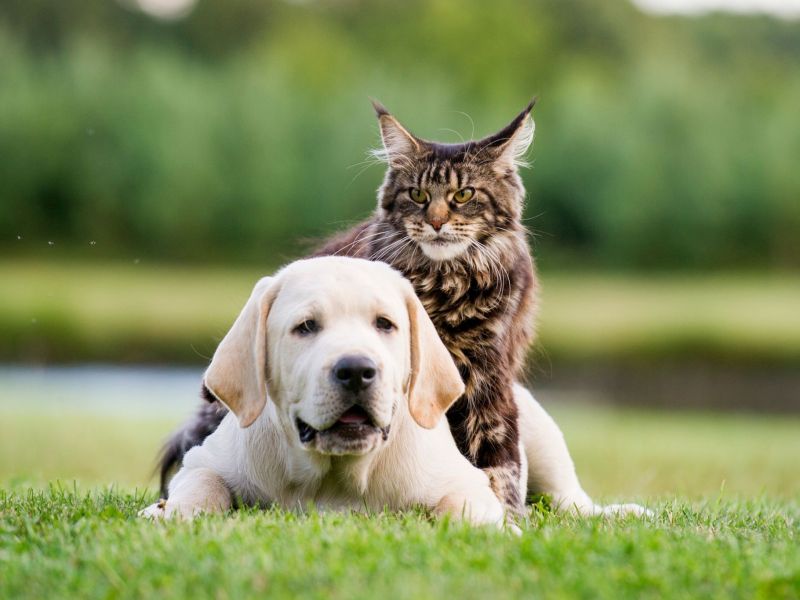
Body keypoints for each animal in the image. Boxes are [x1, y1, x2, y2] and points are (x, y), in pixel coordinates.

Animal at [141, 258, 648, 524]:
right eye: (305, 327)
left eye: (385, 324)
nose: (356, 370)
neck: (336, 477)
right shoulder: (204, 460)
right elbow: (203, 487)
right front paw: (170, 512)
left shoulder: (464, 480)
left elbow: (466, 505)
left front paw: (495, 529)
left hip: (539, 435)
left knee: (571, 500)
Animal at [159, 99, 536, 516]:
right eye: (418, 195)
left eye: (465, 195)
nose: (436, 222)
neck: (446, 286)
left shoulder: (490, 379)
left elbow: (498, 463)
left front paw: (508, 513)